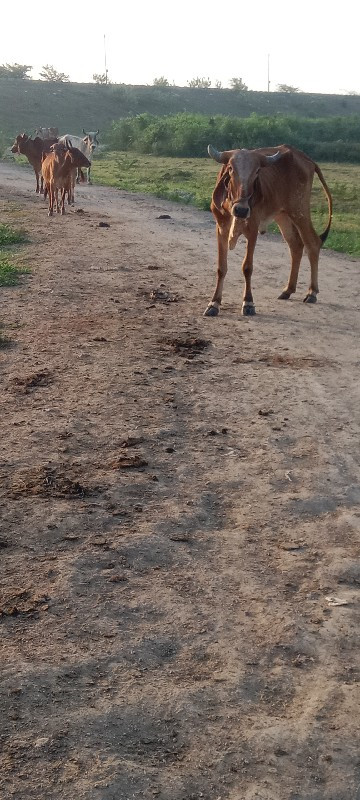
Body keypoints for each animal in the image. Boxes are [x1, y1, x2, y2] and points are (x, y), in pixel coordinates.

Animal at [204, 144, 334, 316]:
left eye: (257, 171)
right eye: (231, 168)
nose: (241, 210)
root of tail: (307, 159)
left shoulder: (252, 228)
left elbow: (247, 267)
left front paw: (248, 303)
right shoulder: (221, 228)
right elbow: (221, 268)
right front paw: (214, 303)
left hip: (299, 211)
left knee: (312, 243)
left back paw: (312, 292)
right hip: (283, 216)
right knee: (296, 246)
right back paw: (288, 290)